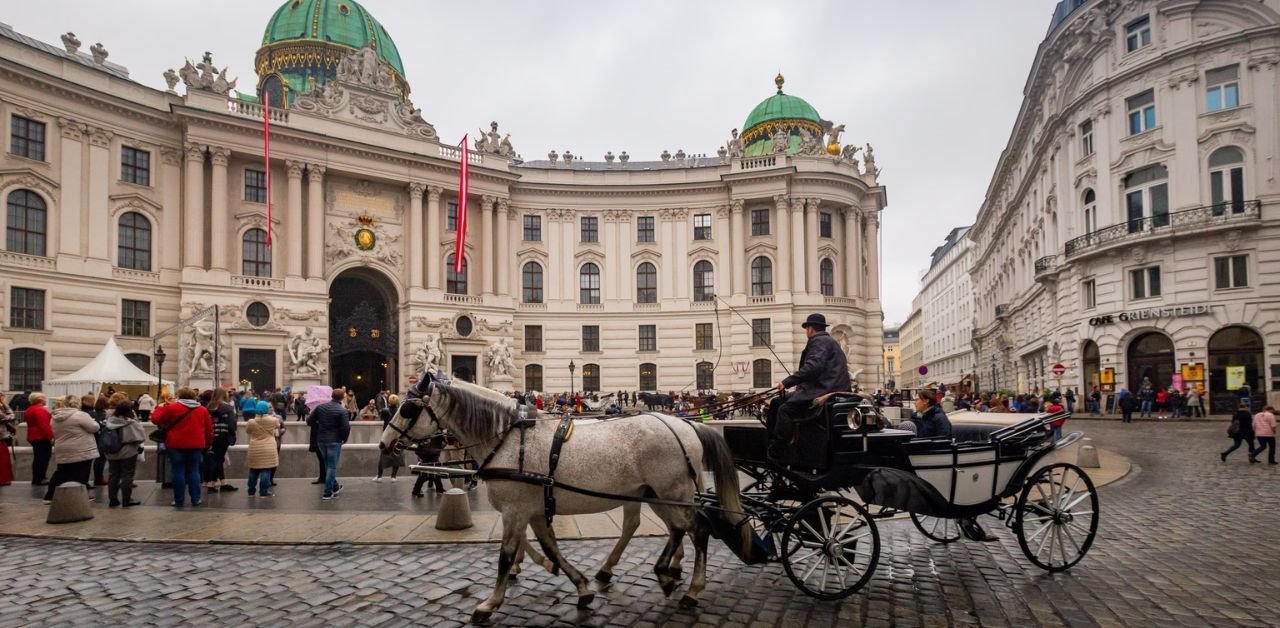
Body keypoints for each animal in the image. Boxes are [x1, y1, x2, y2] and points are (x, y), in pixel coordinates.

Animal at [378, 373, 747, 624]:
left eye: (407, 408)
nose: (384, 444)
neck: (508, 438)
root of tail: (687, 426)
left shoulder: (515, 510)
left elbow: (505, 555)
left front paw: (490, 603)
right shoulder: (534, 509)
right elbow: (549, 546)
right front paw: (579, 586)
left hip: (673, 492)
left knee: (697, 530)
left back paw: (691, 589)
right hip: (660, 495)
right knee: (676, 529)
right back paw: (661, 572)